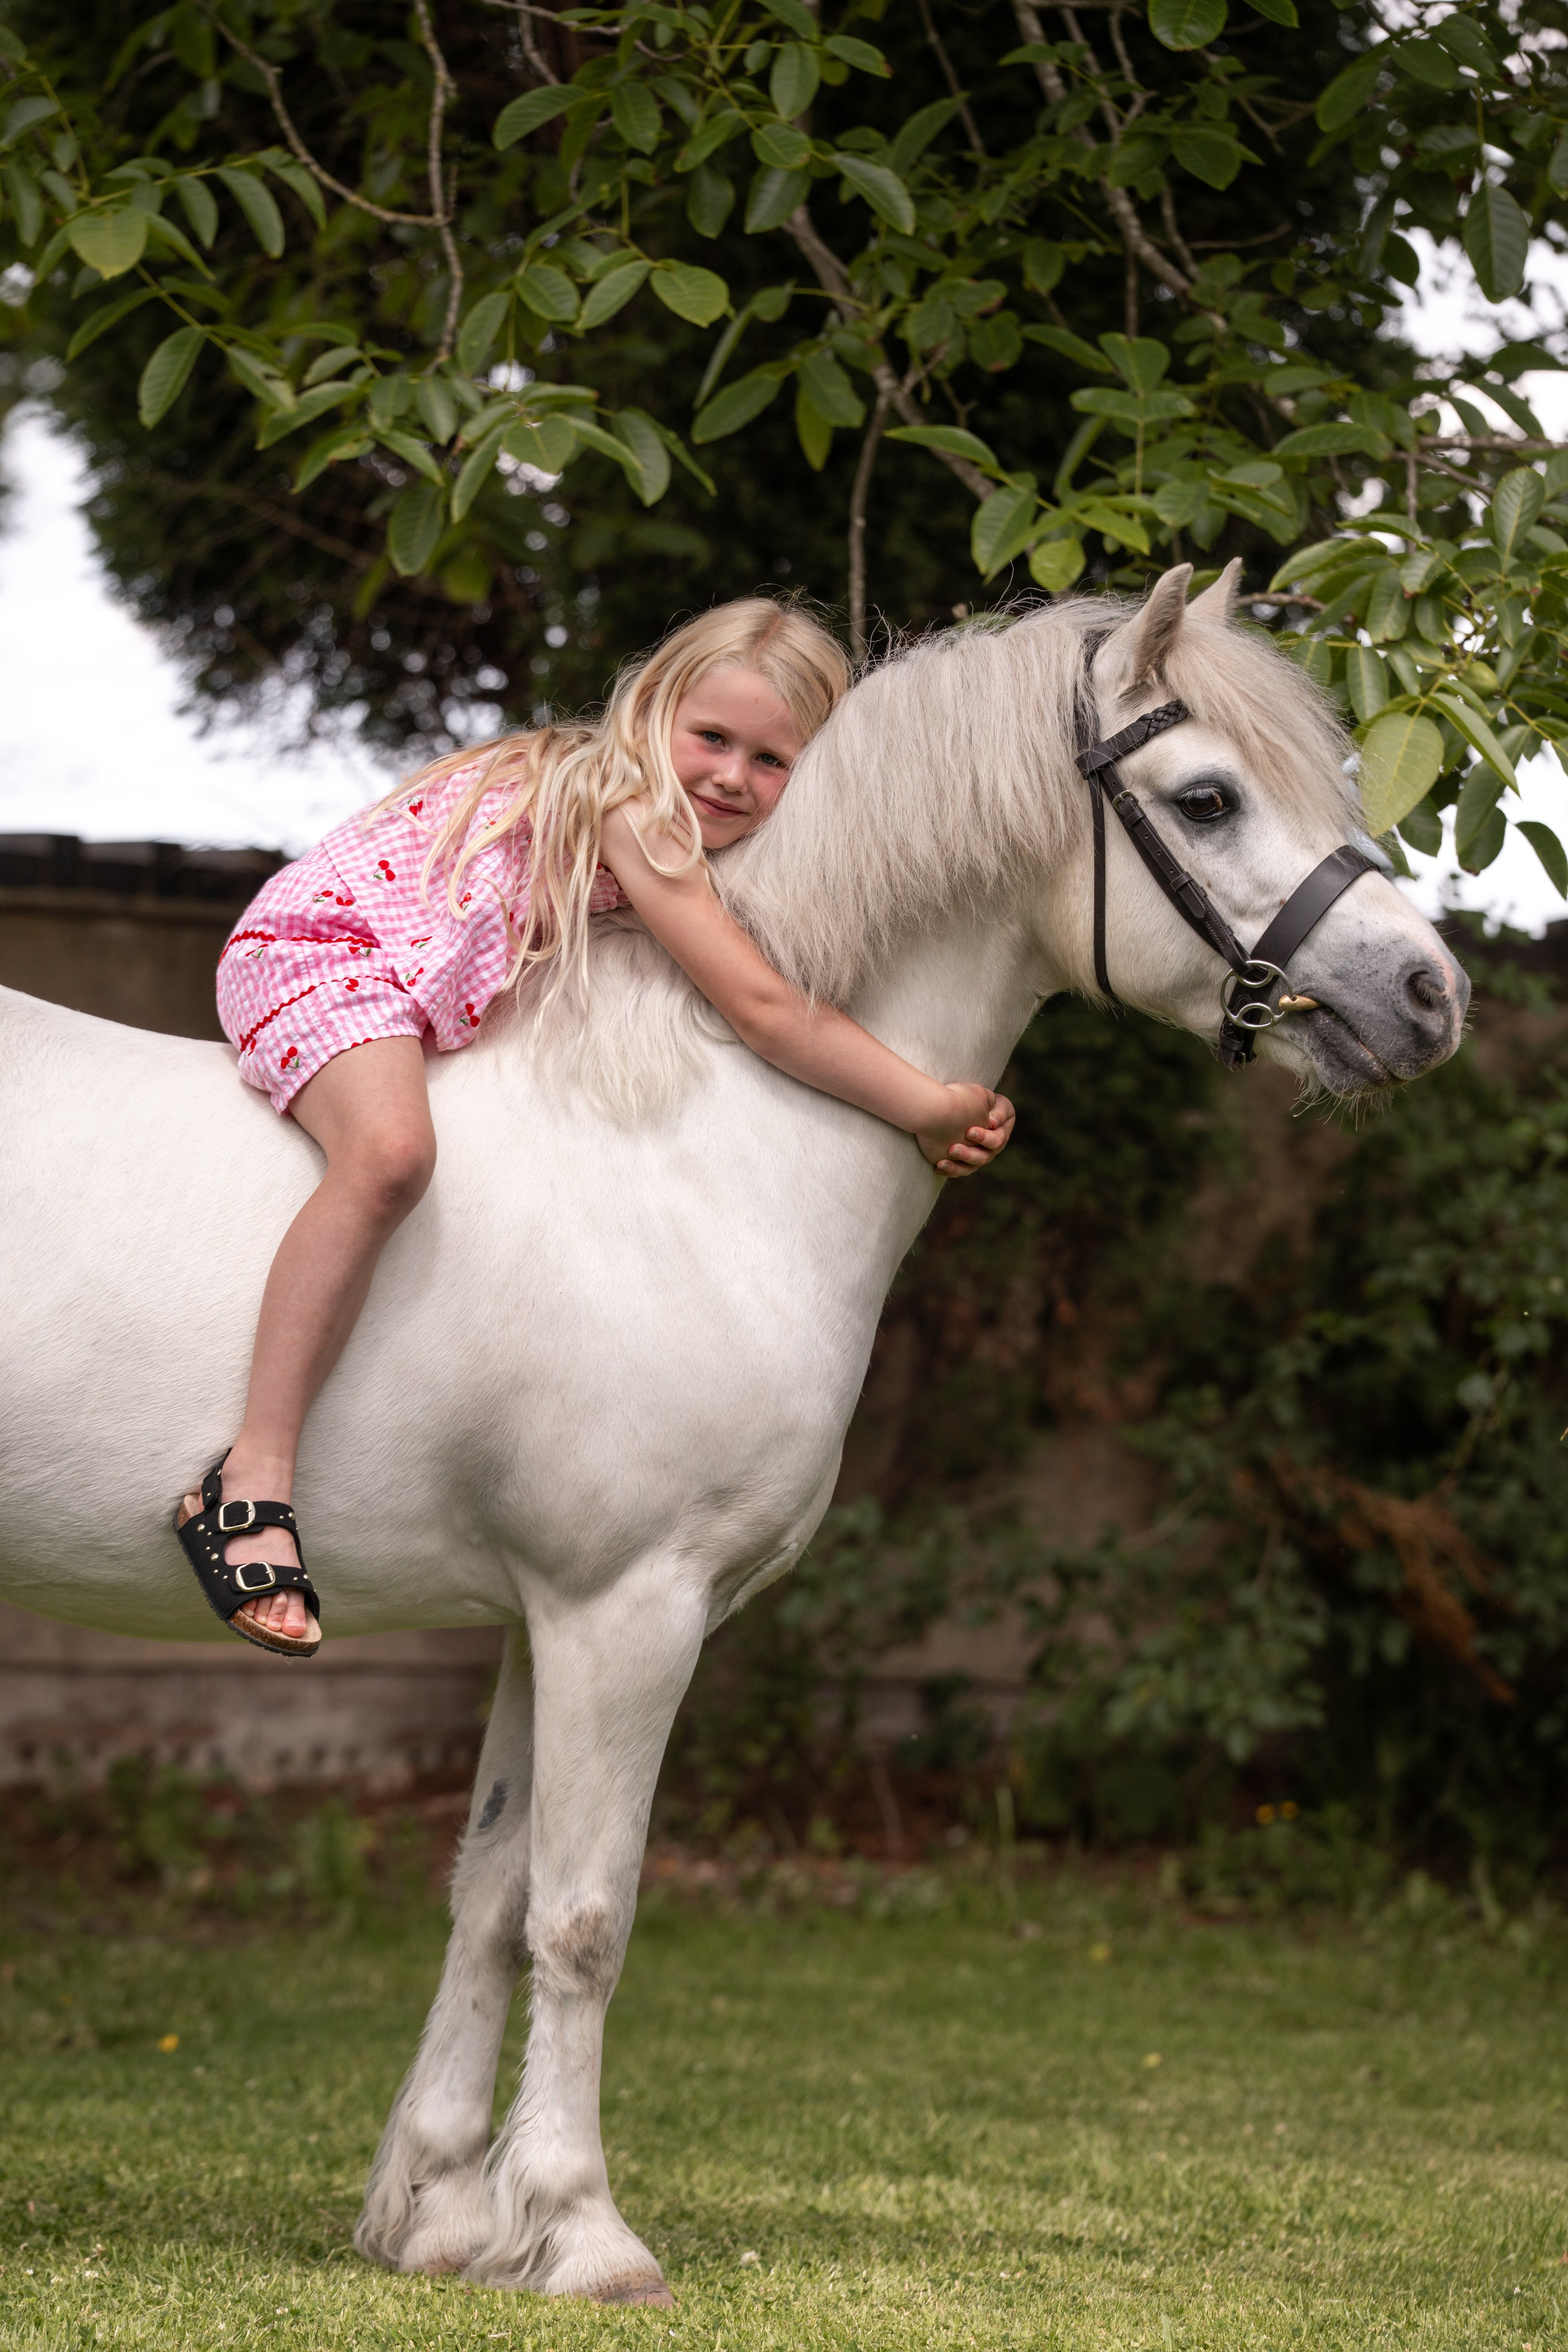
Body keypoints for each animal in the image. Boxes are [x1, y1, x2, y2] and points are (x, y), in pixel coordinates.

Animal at [0, 566, 1468, 2302]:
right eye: (1205, 798)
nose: (1429, 993)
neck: (704, 1147)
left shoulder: (542, 1620)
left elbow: (490, 1890)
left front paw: (439, 2212)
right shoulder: (627, 1610)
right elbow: (583, 1915)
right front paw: (579, 2228)